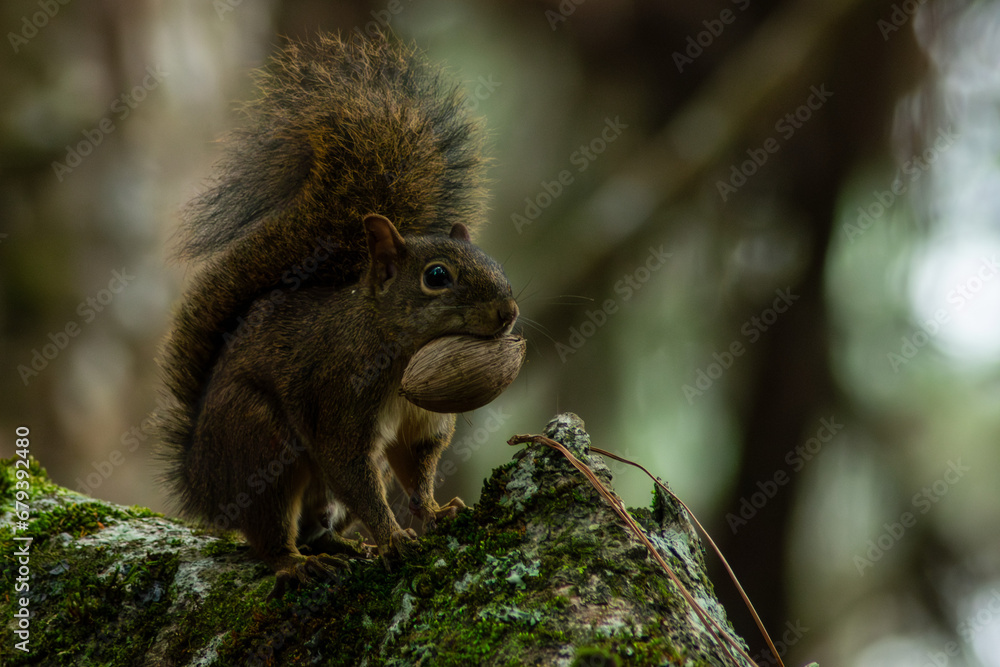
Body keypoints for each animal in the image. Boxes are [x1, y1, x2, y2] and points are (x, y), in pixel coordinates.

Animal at [157, 32, 518, 592]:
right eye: (437, 276)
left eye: (491, 259)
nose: (509, 313)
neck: (398, 353)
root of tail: (199, 477)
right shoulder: (338, 402)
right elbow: (353, 472)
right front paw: (393, 539)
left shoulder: (421, 423)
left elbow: (416, 468)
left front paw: (435, 512)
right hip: (257, 440)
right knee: (270, 530)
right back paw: (297, 564)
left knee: (317, 523)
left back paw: (341, 545)